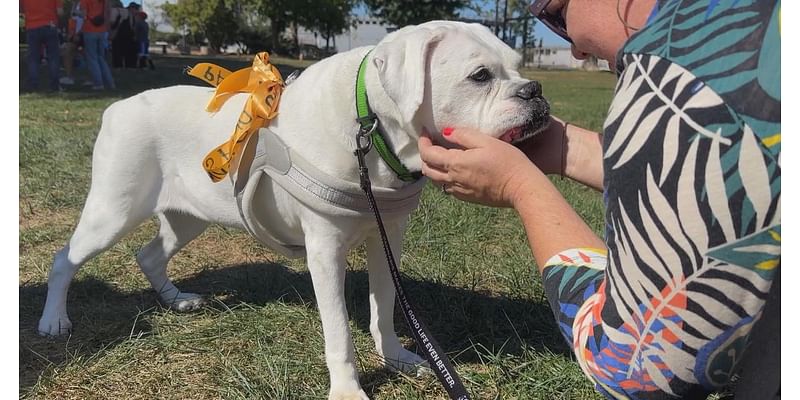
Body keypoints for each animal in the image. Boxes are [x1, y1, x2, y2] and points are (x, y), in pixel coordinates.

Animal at [37, 21, 552, 396]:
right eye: (479, 77)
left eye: (518, 67)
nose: (534, 90)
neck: (371, 128)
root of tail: (116, 108)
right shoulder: (325, 251)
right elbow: (339, 332)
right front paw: (348, 390)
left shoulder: (388, 240)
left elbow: (384, 306)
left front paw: (396, 358)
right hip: (113, 211)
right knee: (65, 259)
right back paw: (53, 321)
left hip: (188, 218)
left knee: (149, 254)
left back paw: (175, 299)